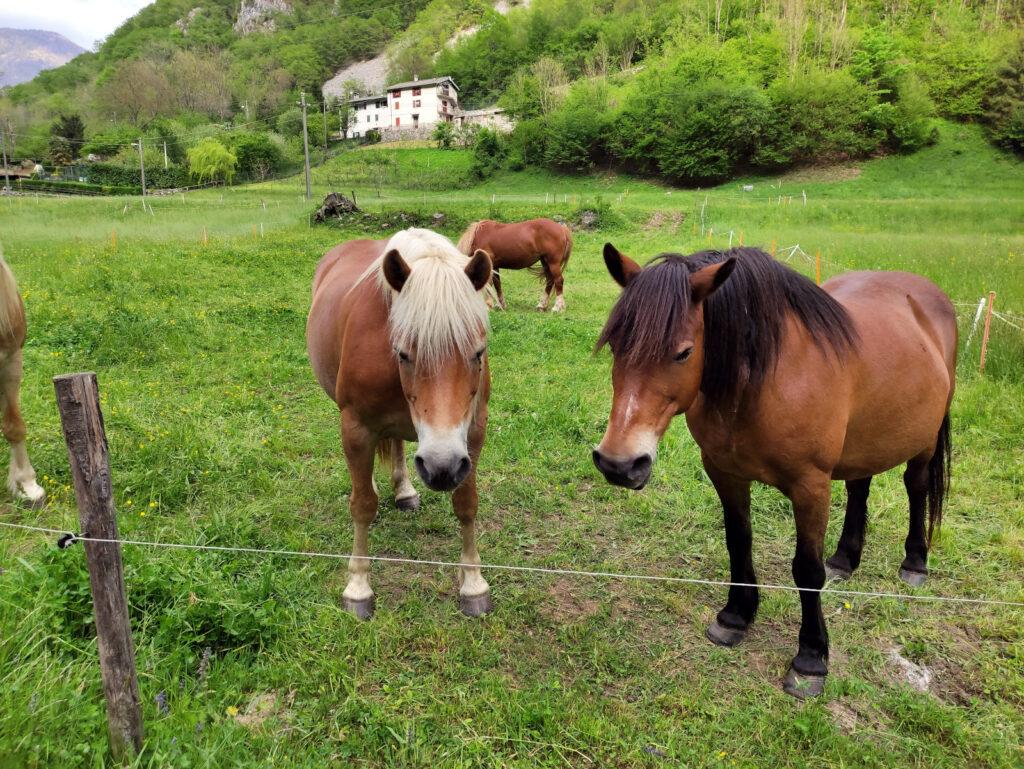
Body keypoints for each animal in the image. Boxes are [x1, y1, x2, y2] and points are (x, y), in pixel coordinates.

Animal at [305, 227, 493, 618]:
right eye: (404, 354)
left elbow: (467, 503)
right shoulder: (357, 428)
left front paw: (473, 584)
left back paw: (404, 491)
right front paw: (358, 588)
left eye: (478, 353)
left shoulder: (473, 432)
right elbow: (362, 505)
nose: (441, 466)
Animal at [598, 244, 954, 696]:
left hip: (924, 443)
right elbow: (738, 541)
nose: (619, 463)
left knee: (916, 486)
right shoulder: (724, 473)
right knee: (860, 487)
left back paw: (914, 563)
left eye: (683, 352)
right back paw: (845, 559)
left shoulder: (811, 487)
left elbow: (806, 569)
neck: (764, 382)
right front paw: (735, 616)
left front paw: (811, 658)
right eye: (615, 345)